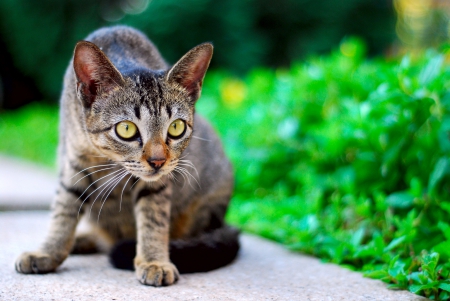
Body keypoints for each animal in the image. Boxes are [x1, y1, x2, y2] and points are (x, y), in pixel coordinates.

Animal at [14, 24, 239, 284]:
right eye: (126, 129)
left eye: (176, 127)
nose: (158, 161)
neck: (112, 161)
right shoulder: (73, 162)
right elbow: (63, 211)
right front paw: (48, 252)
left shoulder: (157, 185)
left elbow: (153, 219)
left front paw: (154, 260)